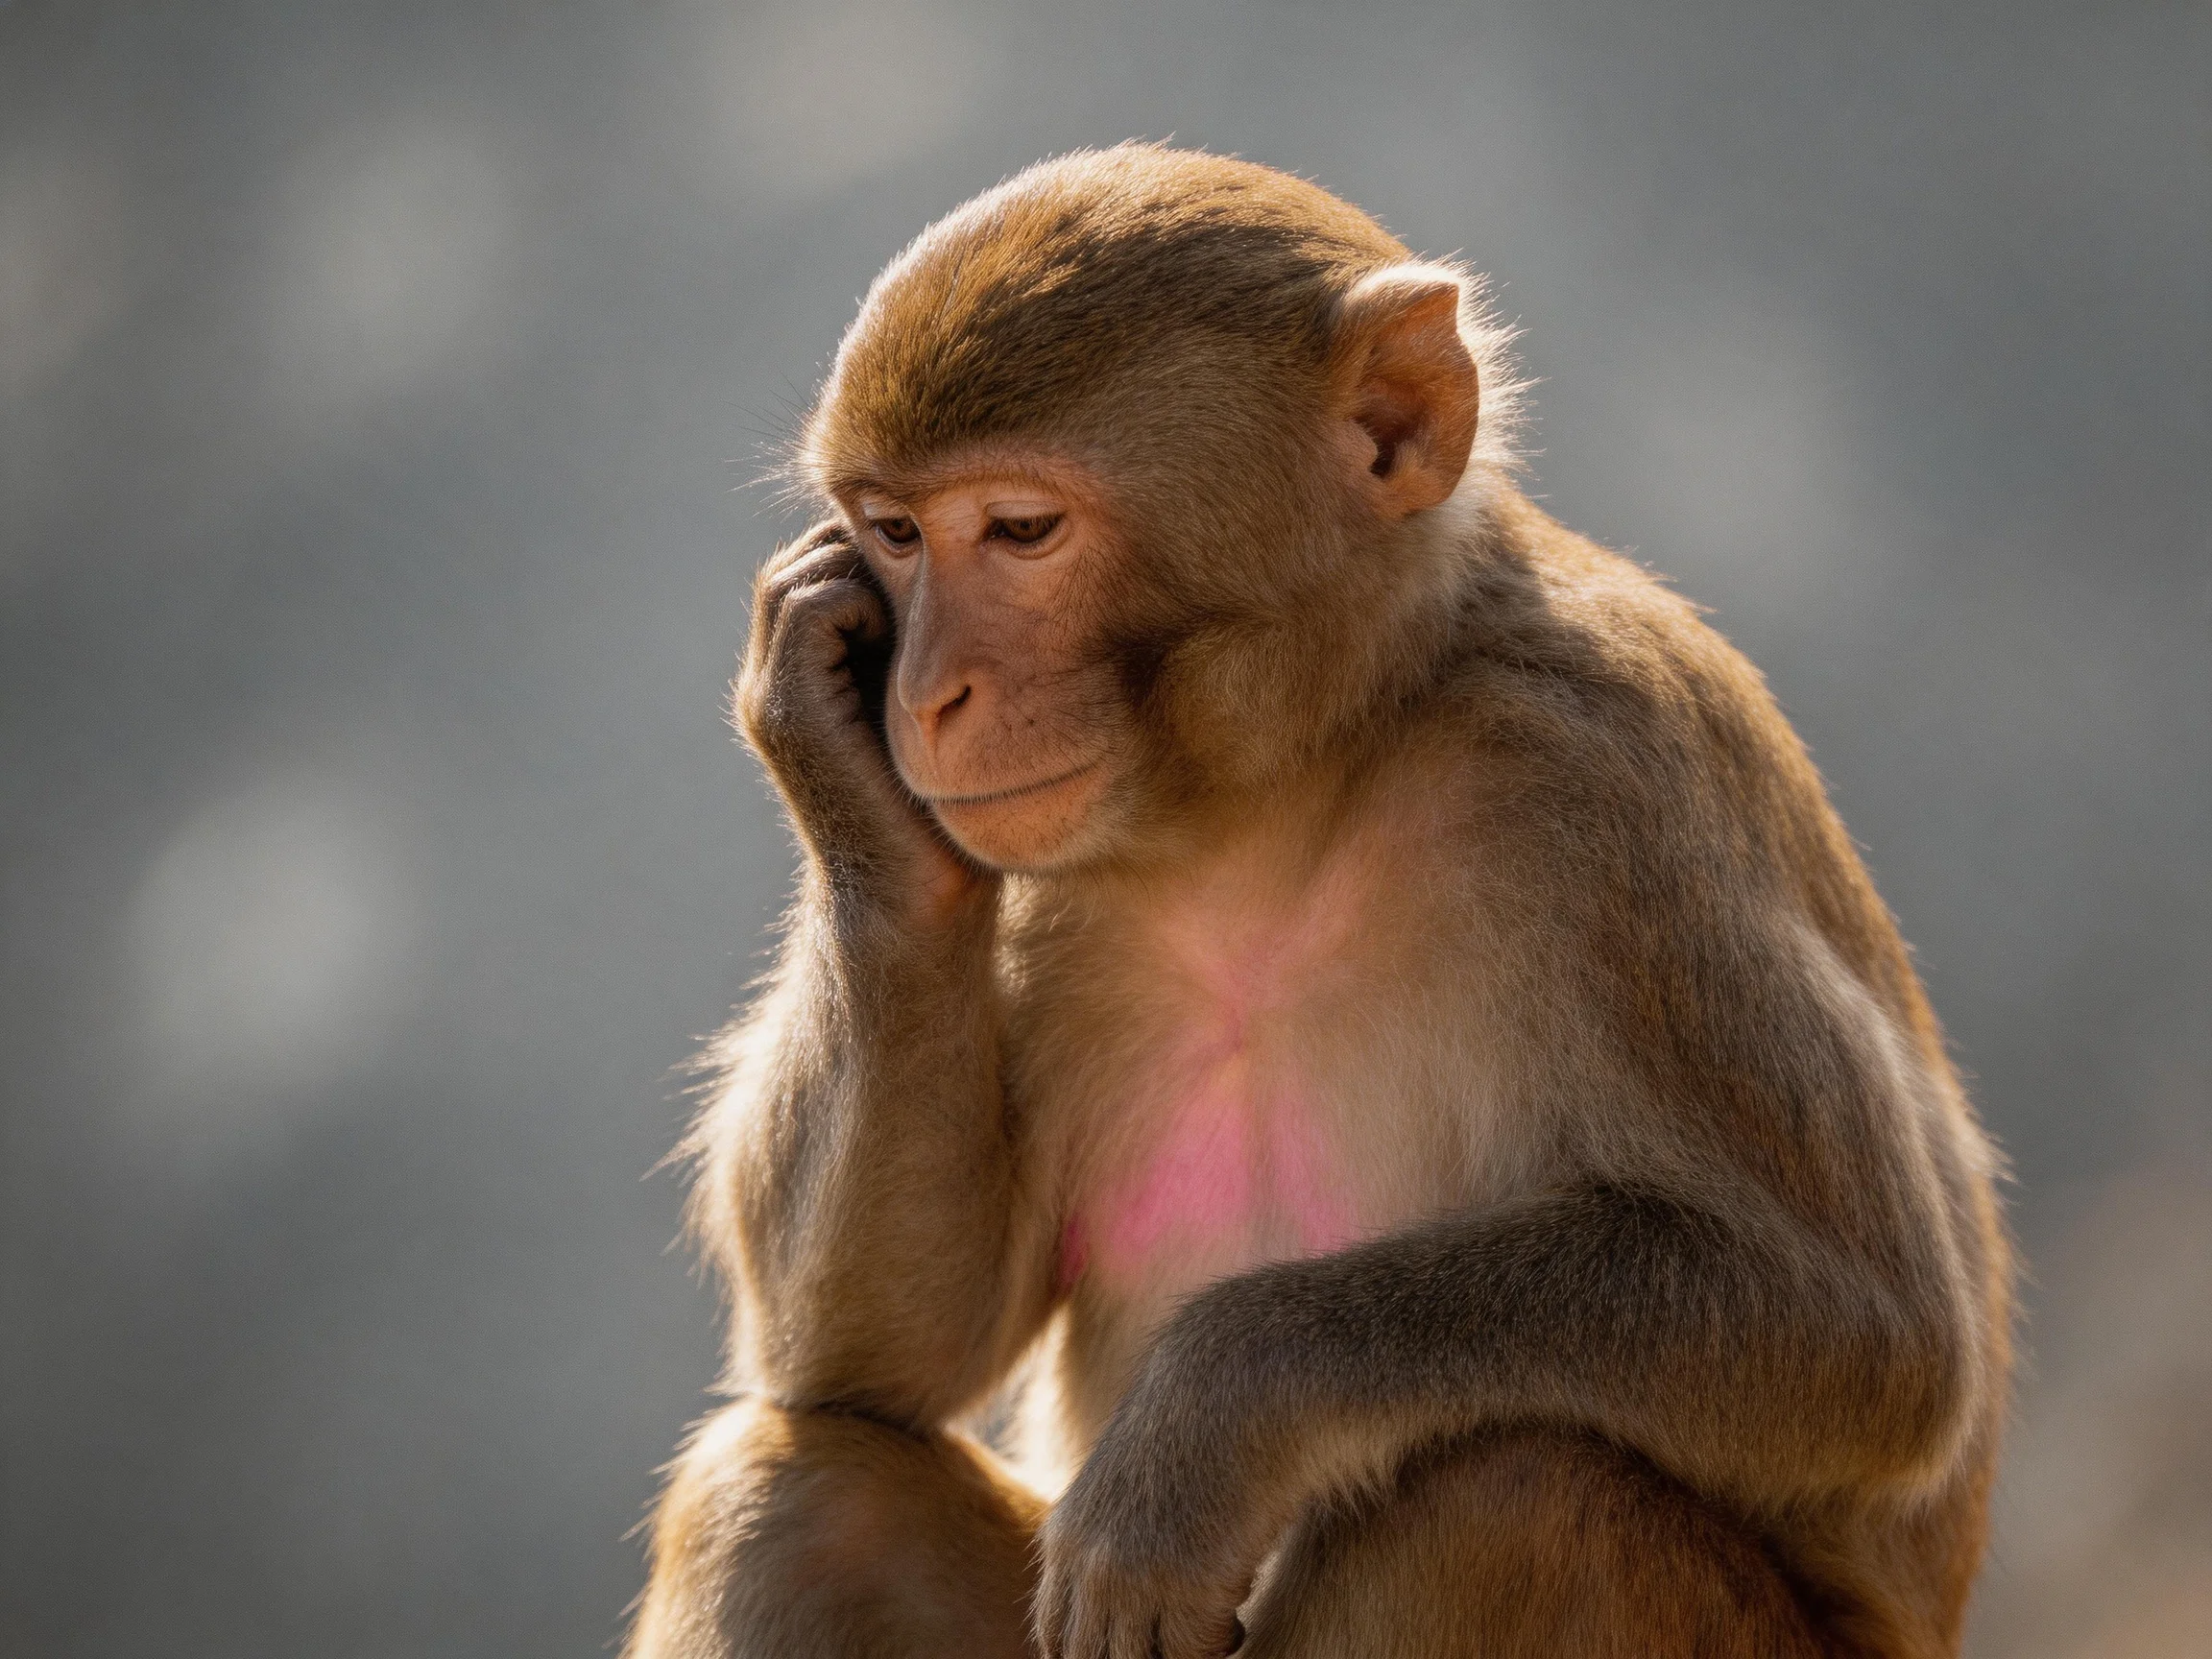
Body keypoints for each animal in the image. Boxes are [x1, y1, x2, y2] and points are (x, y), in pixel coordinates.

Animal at [627, 144, 2012, 1659]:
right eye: (891, 534)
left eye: (1022, 530)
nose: (927, 696)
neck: (1286, 796)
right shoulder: (1054, 879)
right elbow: (880, 1358)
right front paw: (824, 741)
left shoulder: (1600, 782)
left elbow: (1864, 1326)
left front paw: (1205, 1422)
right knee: (806, 1494)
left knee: (1515, 1499)